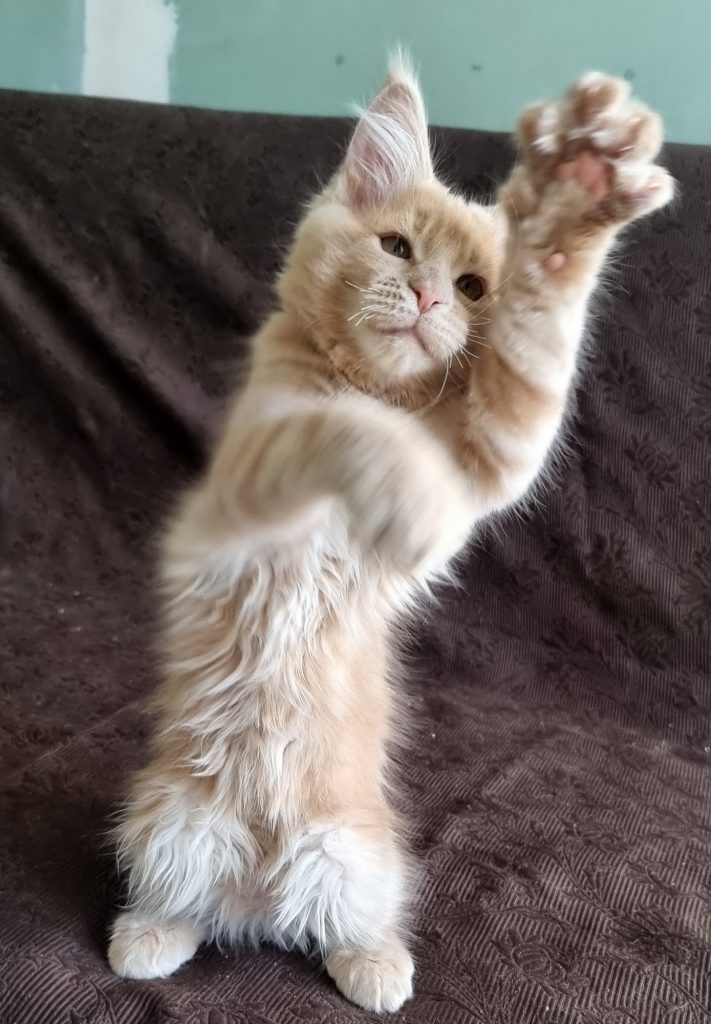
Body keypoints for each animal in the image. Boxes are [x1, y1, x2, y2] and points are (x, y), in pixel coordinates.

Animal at [107, 55, 673, 1012]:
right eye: (397, 248)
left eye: (474, 288)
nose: (425, 295)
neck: (372, 387)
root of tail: (260, 889)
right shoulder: (245, 475)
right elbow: (334, 429)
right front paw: (383, 460)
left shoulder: (486, 461)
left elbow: (533, 351)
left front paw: (580, 193)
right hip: (170, 822)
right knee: (187, 902)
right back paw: (145, 938)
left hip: (352, 855)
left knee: (336, 924)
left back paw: (374, 965)